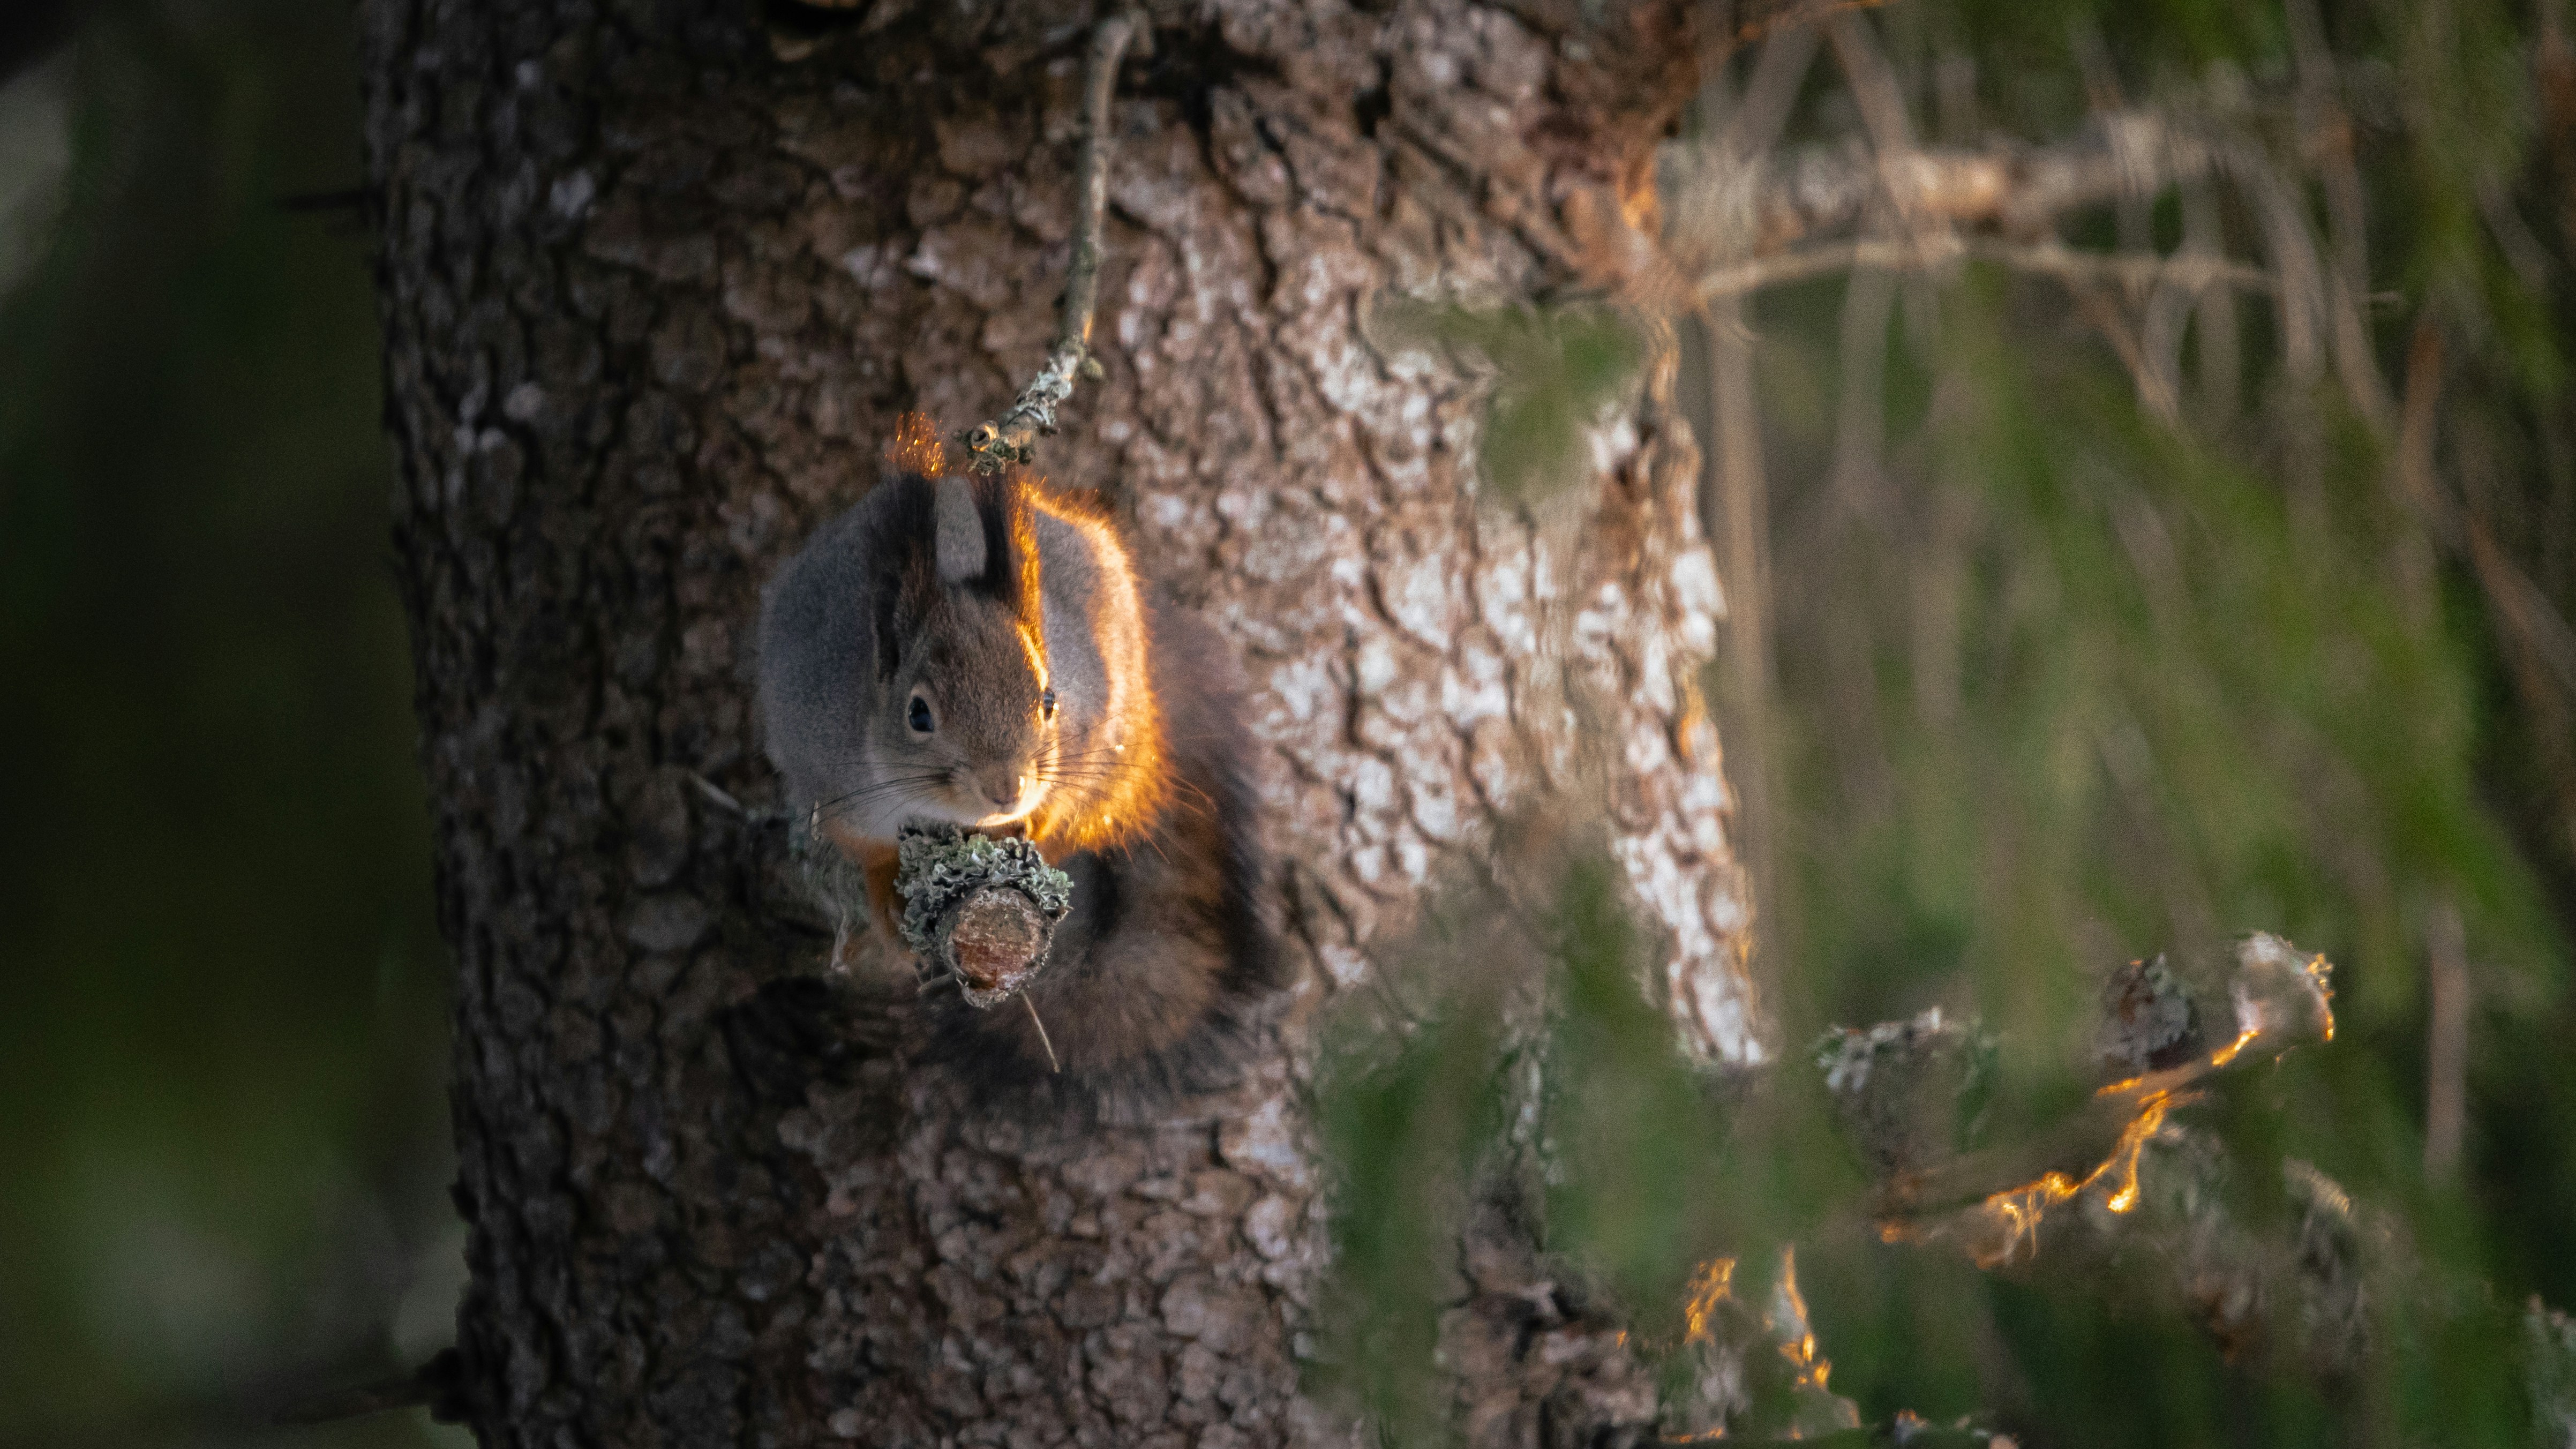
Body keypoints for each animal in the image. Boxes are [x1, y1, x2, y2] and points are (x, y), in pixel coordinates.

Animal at [758, 415, 1283, 1095]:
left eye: (1049, 699)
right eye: (918, 713)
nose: (1006, 788)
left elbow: (1057, 815)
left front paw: (1028, 826)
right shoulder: (829, 772)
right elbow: (867, 851)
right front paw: (889, 899)